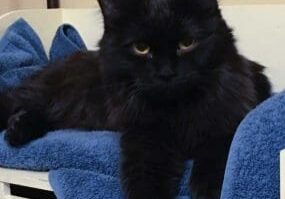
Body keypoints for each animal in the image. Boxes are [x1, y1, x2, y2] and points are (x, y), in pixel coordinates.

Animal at [0, 0, 270, 199]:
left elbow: (219, 153)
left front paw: (208, 189)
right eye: (141, 48)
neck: (178, 110)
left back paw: (16, 131)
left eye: (187, 43)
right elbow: (146, 181)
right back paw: (15, 131)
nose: (166, 73)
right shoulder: (146, 137)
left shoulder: (227, 121)